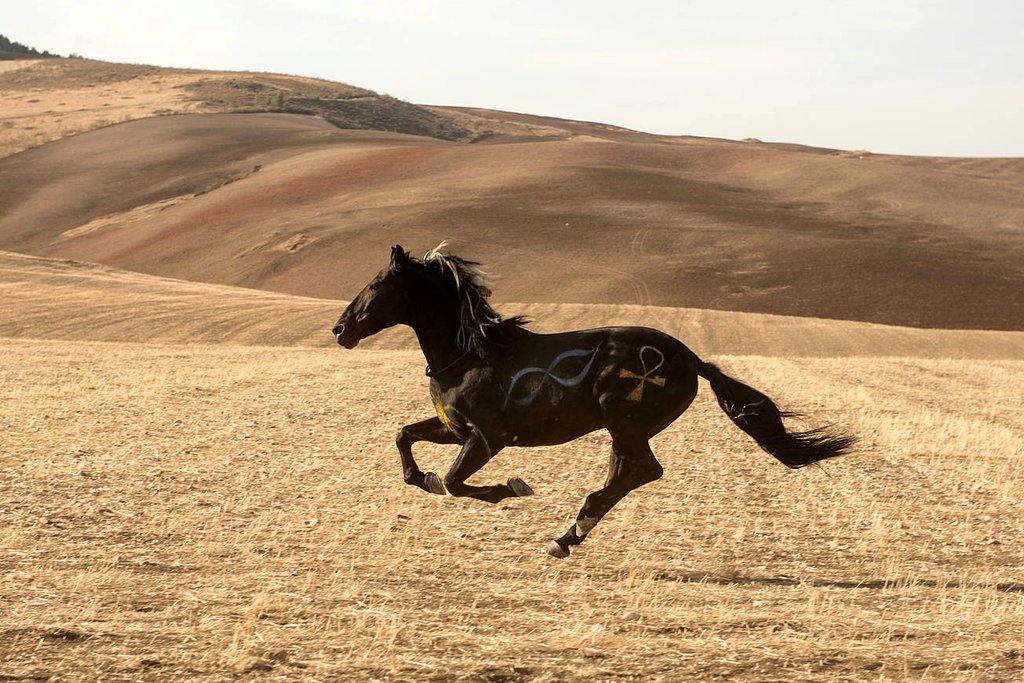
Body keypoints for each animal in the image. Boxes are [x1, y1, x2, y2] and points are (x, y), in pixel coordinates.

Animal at [332, 244, 856, 558]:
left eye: (377, 284)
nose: (340, 329)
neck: (469, 354)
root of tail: (690, 358)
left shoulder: (488, 438)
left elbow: (452, 483)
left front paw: (513, 488)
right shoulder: (453, 428)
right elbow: (406, 441)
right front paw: (420, 475)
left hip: (625, 422)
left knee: (641, 470)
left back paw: (567, 535)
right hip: (622, 428)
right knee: (628, 472)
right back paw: (569, 534)